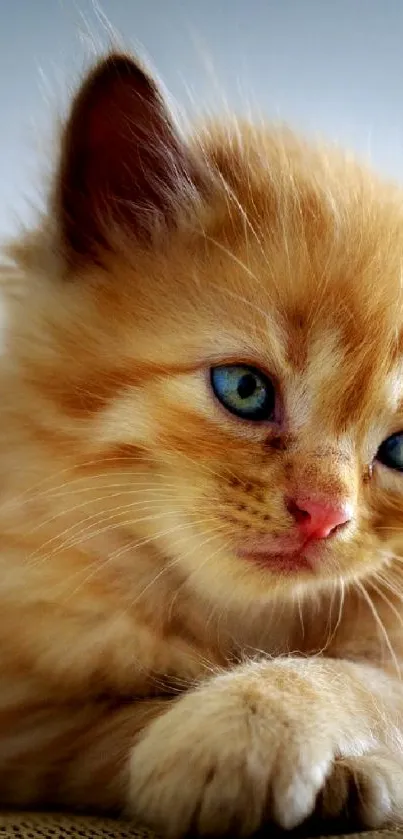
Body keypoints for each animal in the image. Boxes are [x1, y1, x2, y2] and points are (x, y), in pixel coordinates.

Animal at [0, 52, 403, 832]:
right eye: (244, 389)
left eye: (400, 451)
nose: (325, 516)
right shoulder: (27, 717)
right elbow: (106, 729)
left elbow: (358, 676)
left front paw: (250, 720)